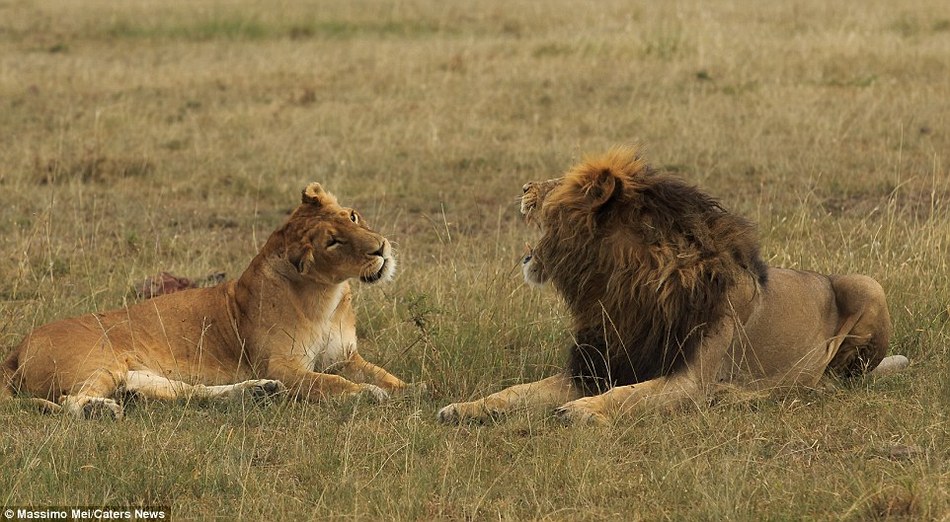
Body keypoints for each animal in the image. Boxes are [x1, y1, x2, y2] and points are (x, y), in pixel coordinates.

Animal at [2, 183, 412, 418]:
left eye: (353, 217)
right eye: (333, 242)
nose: (381, 249)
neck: (329, 298)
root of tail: (17, 349)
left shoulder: (346, 357)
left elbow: (382, 374)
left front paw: (410, 390)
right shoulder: (283, 365)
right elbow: (330, 383)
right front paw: (366, 395)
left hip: (135, 372)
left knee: (182, 391)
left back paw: (255, 393)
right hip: (99, 361)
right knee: (71, 403)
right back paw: (99, 411)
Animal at [442, 145, 912, 422]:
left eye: (560, 186)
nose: (524, 188)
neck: (619, 290)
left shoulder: (689, 380)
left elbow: (629, 395)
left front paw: (581, 411)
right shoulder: (597, 365)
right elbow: (516, 391)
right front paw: (463, 408)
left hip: (867, 285)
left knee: (832, 381)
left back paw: (742, 395)